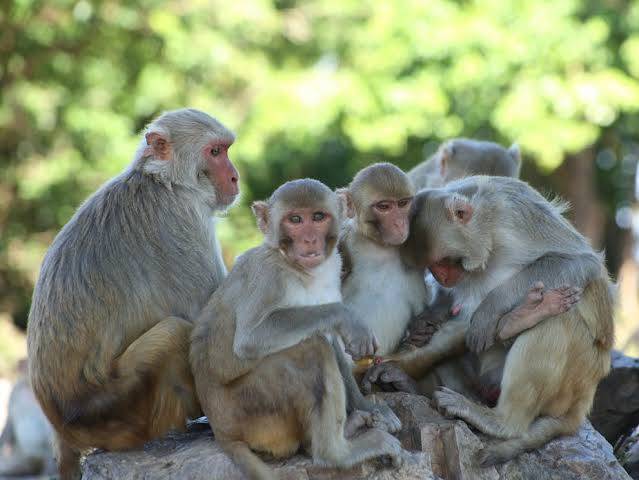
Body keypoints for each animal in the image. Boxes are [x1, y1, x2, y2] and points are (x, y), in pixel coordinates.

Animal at [26, 107, 241, 478]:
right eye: (215, 152)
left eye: (226, 149)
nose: (235, 177)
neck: (164, 181)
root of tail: (63, 426)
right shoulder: (183, 218)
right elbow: (208, 321)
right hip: (120, 407)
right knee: (174, 332)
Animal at [190, 179, 408, 480]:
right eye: (295, 220)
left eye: (317, 217)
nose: (308, 240)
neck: (301, 271)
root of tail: (222, 432)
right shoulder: (267, 275)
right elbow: (249, 338)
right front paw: (349, 319)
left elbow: (332, 341)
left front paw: (371, 407)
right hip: (253, 412)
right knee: (312, 350)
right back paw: (336, 454)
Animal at [378, 176, 612, 464]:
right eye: (431, 266)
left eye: (444, 261)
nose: (441, 277)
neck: (487, 231)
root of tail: (586, 395)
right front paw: (424, 322)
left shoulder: (513, 212)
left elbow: (581, 261)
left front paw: (490, 309)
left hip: (576, 375)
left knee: (559, 320)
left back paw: (501, 420)